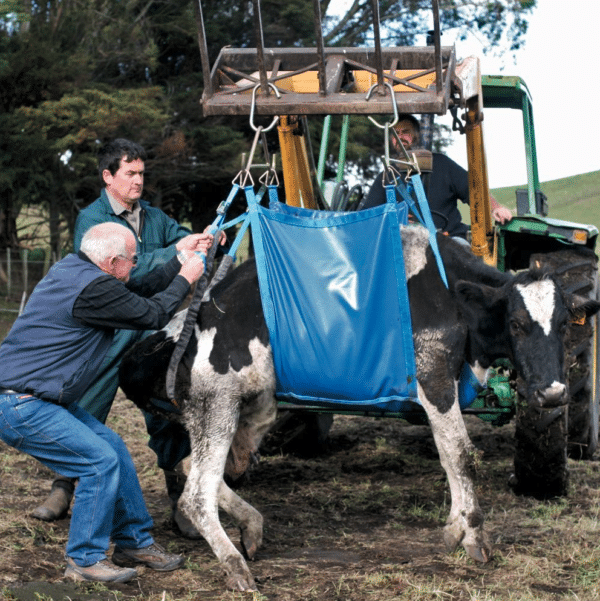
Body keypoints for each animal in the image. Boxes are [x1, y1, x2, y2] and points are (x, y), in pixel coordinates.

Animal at [118, 226, 600, 592]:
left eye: (565, 325)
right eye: (516, 324)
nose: (554, 394)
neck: (450, 295)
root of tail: (171, 330)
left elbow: (449, 457)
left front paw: (454, 527)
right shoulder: (433, 379)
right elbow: (461, 455)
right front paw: (474, 536)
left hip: (245, 410)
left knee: (192, 469)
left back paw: (250, 526)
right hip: (216, 406)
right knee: (197, 491)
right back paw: (235, 566)